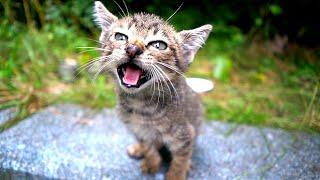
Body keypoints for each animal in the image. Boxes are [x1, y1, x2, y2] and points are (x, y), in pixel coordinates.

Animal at [92, 1, 212, 179]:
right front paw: (151, 162)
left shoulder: (184, 134)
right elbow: (149, 147)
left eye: (159, 45)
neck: (140, 104)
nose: (132, 49)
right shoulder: (139, 130)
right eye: (120, 36)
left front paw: (176, 174)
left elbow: (180, 159)